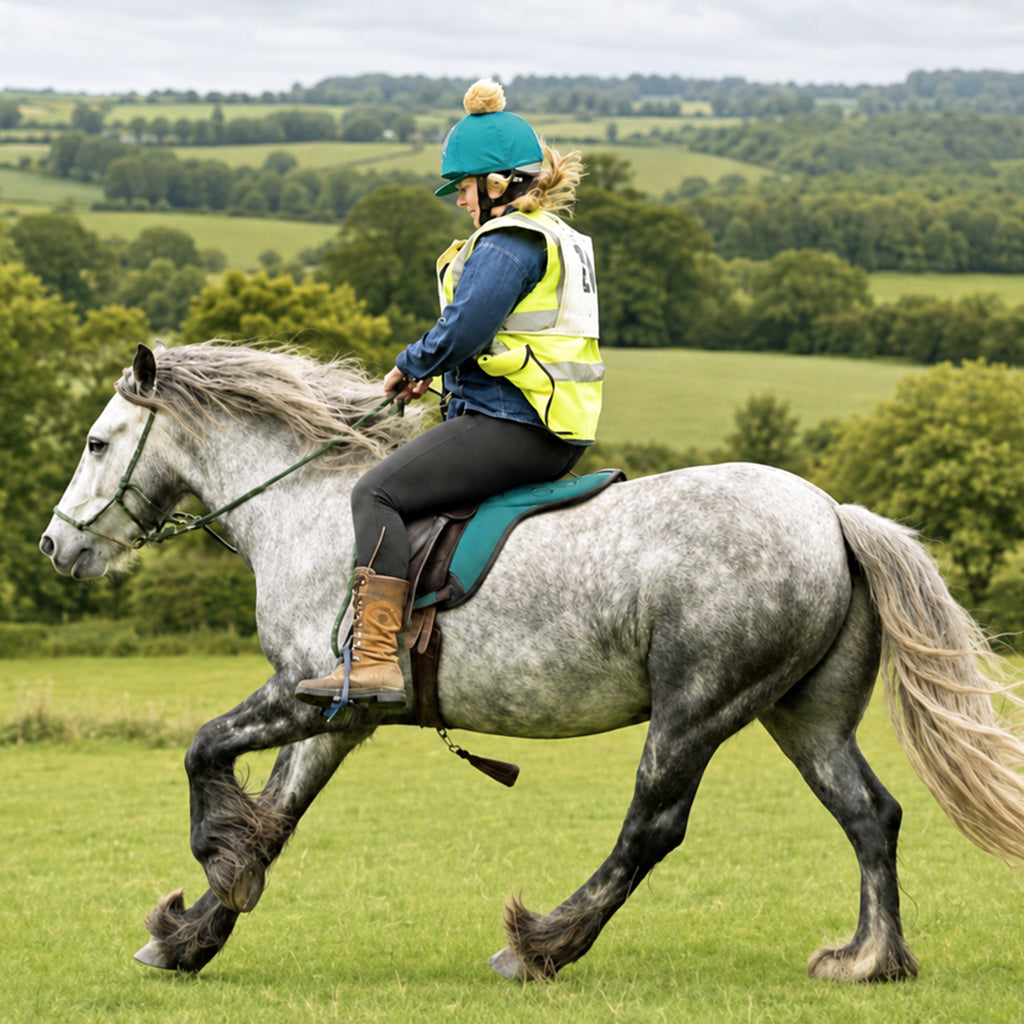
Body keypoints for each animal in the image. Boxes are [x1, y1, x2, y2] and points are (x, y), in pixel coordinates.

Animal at [39, 340, 1024, 983]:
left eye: (95, 443)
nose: (55, 547)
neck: (304, 506)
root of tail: (832, 516)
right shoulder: (333, 716)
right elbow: (275, 816)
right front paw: (193, 934)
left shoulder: (303, 697)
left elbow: (203, 750)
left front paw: (213, 865)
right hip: (803, 716)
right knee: (870, 815)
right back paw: (870, 961)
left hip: (697, 708)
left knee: (652, 828)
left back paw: (540, 944)